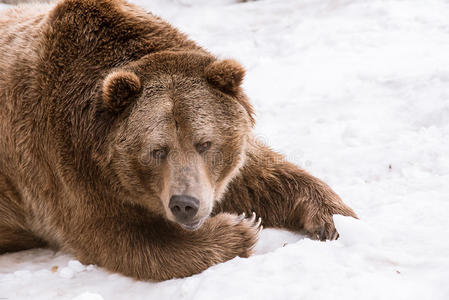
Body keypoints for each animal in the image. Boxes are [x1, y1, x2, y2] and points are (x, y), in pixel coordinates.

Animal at [0, 0, 356, 282]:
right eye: (156, 150)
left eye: (204, 143)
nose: (185, 204)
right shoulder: (68, 170)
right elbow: (126, 239)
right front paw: (241, 227)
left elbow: (267, 177)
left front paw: (334, 221)